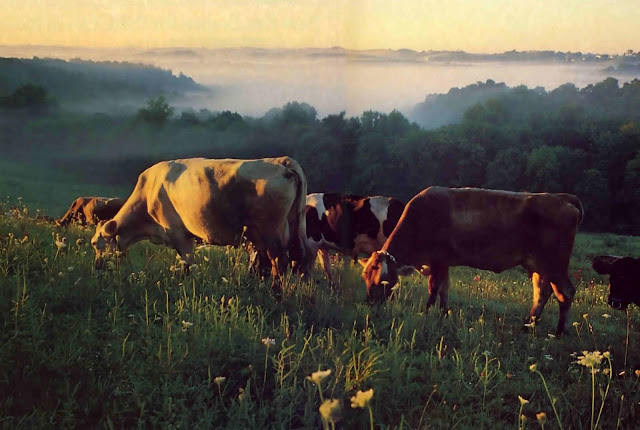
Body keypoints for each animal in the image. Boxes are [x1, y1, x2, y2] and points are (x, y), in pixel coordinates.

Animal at [90, 157, 310, 286]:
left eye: (94, 243)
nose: (97, 268)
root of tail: (282, 161)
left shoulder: (179, 234)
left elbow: (188, 266)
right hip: (292, 227)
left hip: (271, 231)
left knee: (279, 262)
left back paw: (275, 293)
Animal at [360, 186, 584, 334]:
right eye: (365, 278)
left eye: (382, 280)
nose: (370, 303)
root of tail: (563, 197)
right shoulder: (444, 262)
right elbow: (444, 289)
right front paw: (443, 313)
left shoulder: (437, 259)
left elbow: (434, 288)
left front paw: (427, 312)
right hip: (538, 265)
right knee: (542, 291)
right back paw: (529, 324)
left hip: (555, 263)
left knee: (565, 292)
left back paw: (559, 332)